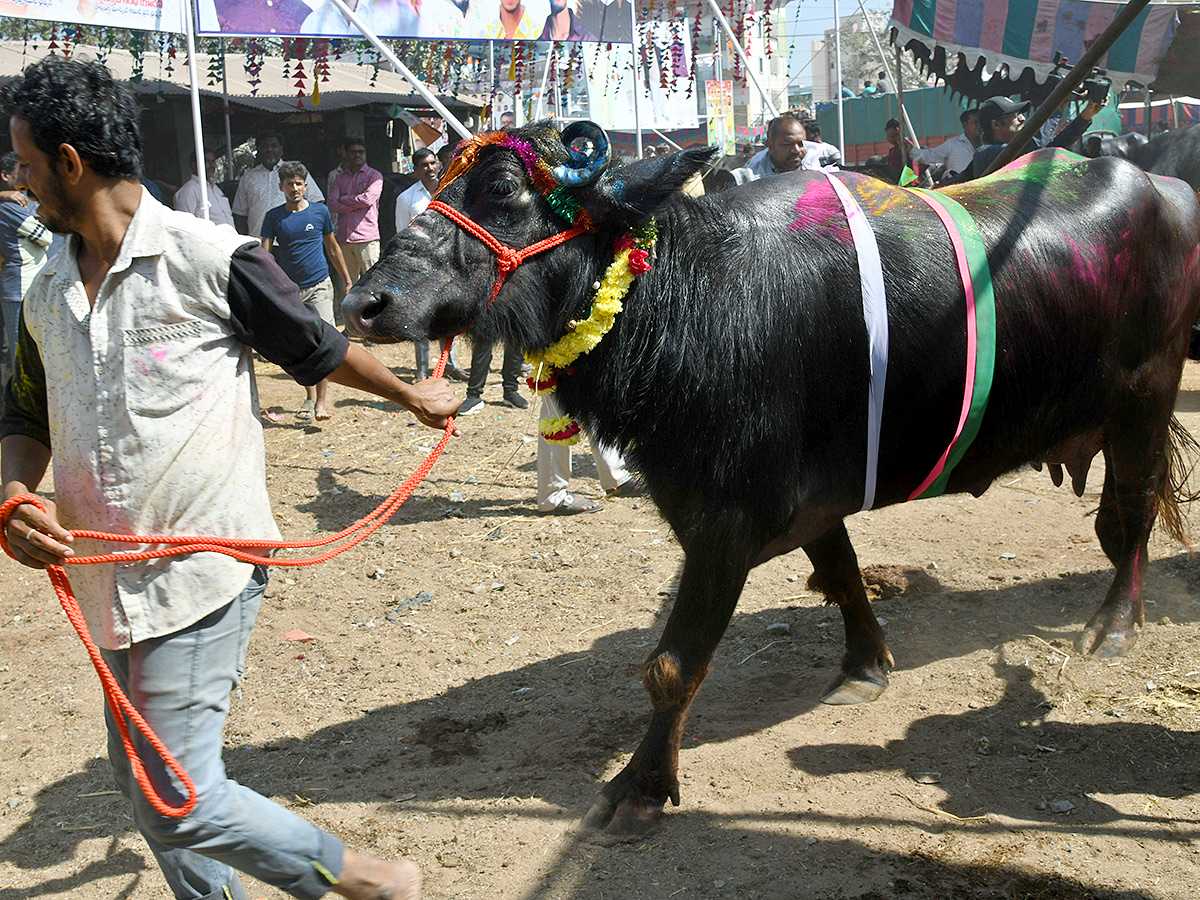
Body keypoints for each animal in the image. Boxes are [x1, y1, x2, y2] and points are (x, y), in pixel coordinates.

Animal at [343, 123, 1200, 835]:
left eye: (501, 188)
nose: (364, 302)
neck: (691, 302)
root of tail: (1166, 189)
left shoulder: (725, 522)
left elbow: (670, 666)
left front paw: (641, 787)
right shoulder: (802, 501)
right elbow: (844, 576)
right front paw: (864, 667)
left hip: (1145, 398)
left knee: (1128, 518)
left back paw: (1114, 625)